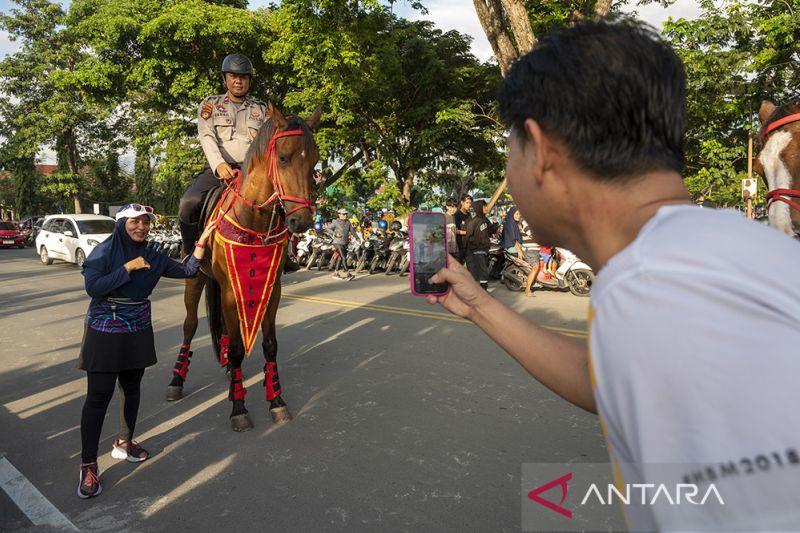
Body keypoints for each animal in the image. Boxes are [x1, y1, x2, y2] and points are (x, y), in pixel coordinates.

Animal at [167, 105, 320, 432]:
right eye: (283, 158)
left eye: (314, 162)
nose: (300, 221)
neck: (254, 220)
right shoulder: (227, 290)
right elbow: (238, 348)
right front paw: (238, 407)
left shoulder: (272, 289)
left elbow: (270, 345)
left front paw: (277, 401)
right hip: (196, 277)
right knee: (190, 326)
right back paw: (176, 379)